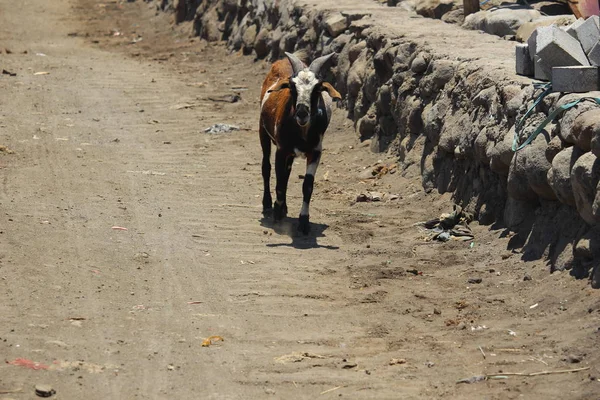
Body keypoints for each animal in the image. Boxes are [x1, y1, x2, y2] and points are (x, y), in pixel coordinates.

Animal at [258, 51, 342, 233]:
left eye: (318, 88)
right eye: (291, 86)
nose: (302, 112)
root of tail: (282, 61)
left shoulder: (315, 152)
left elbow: (307, 186)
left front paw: (304, 222)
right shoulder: (281, 150)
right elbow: (279, 182)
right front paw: (277, 214)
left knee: (287, 174)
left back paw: (284, 208)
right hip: (262, 131)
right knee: (266, 167)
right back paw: (268, 204)